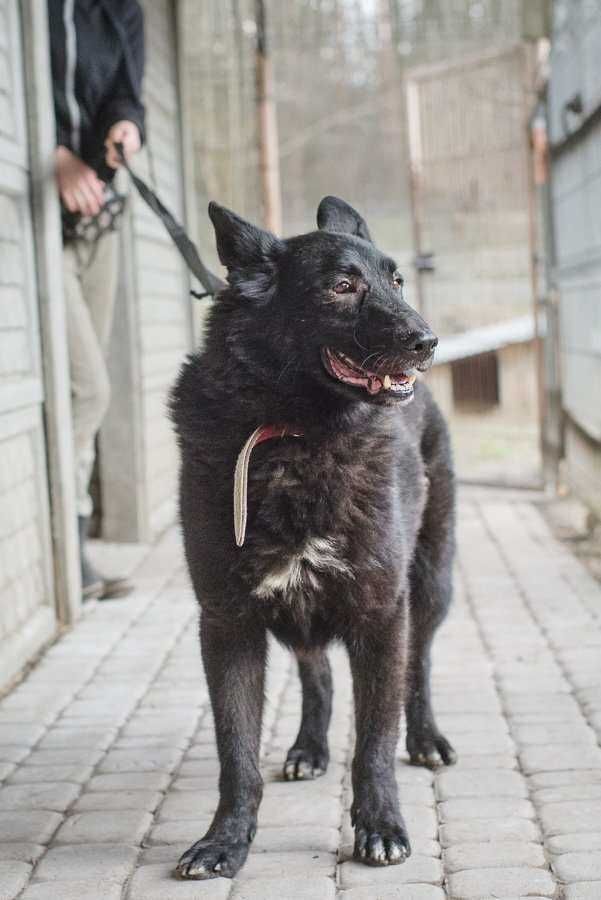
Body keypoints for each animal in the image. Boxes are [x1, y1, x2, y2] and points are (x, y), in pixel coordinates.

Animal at [170, 197, 454, 880]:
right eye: (342, 286)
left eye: (396, 280)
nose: (428, 341)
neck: (294, 433)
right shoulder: (227, 624)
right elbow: (236, 754)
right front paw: (225, 841)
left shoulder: (382, 612)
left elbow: (374, 741)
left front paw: (381, 826)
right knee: (316, 672)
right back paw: (307, 747)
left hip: (430, 585)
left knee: (420, 664)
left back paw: (425, 737)